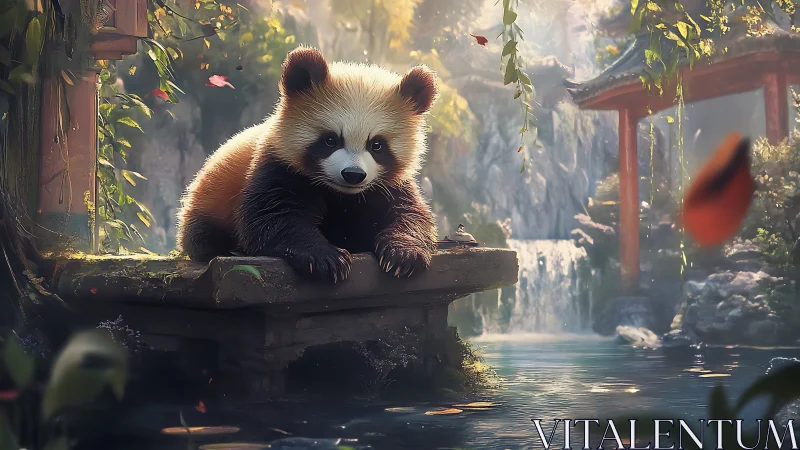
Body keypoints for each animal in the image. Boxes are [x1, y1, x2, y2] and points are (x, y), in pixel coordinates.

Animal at [176, 46, 439, 283]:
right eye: (330, 140)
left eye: (377, 145)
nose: (353, 174)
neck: (341, 194)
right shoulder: (279, 167)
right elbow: (272, 216)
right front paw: (327, 259)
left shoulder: (387, 185)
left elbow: (408, 213)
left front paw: (403, 256)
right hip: (209, 199)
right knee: (204, 235)